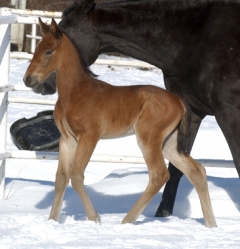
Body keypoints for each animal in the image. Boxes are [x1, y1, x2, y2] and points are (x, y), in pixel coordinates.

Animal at [23, 18, 217, 227]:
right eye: (36, 48)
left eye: (49, 51)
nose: (28, 80)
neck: (75, 91)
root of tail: (179, 100)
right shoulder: (67, 140)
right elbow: (61, 178)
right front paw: (52, 220)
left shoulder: (89, 137)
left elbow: (76, 175)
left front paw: (95, 218)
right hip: (169, 144)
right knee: (196, 171)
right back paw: (211, 224)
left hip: (148, 139)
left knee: (160, 174)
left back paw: (127, 221)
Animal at [51, 0, 240, 218]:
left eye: (61, 37)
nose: (40, 83)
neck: (194, 38)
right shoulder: (192, 112)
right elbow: (176, 169)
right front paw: (163, 215)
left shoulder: (229, 114)